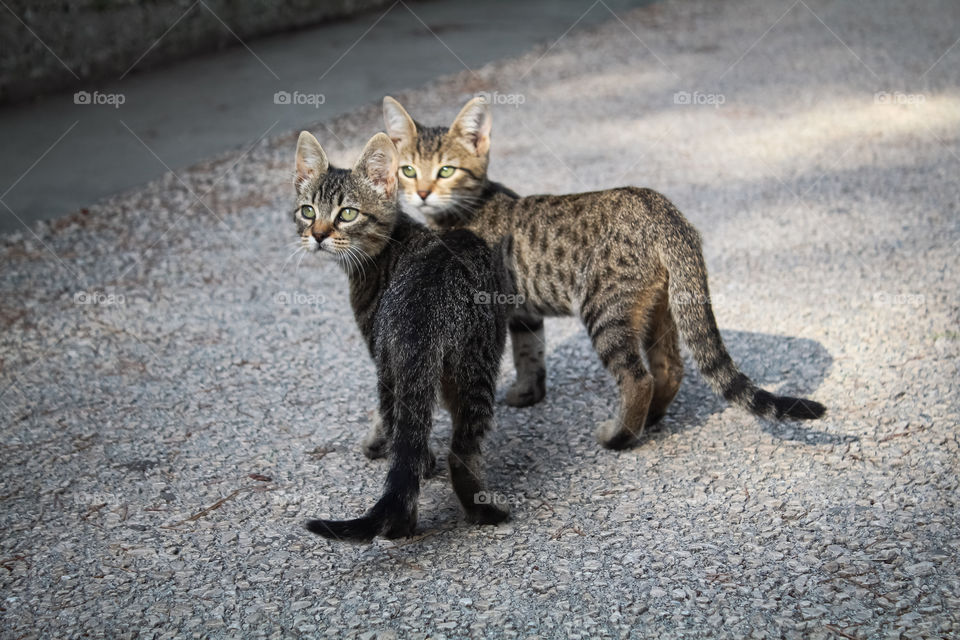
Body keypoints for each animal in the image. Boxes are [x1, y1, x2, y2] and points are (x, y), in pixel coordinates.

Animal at [294, 130, 512, 540]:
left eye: (347, 214)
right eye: (308, 211)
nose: (317, 235)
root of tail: (424, 307)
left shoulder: (373, 345)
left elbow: (392, 424)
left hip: (456, 362)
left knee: (453, 449)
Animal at [382, 96, 824, 450]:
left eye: (446, 171)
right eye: (407, 170)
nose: (422, 193)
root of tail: (663, 210)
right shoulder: (523, 311)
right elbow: (529, 354)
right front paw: (528, 393)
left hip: (604, 308)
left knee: (638, 378)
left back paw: (620, 436)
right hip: (658, 307)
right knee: (669, 367)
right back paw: (652, 419)